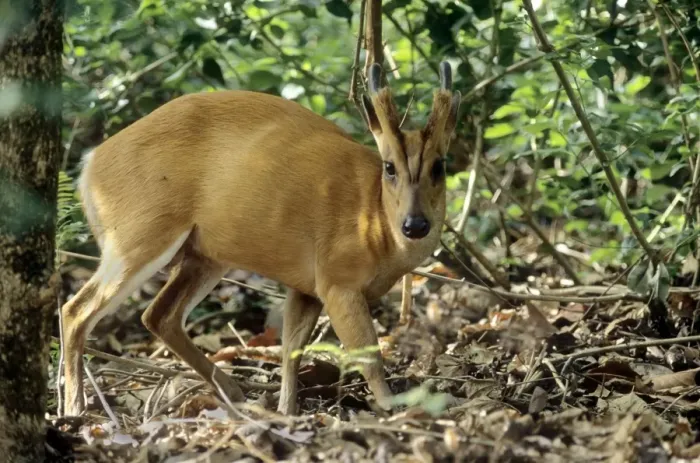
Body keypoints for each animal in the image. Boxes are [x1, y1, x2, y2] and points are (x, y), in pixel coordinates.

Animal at [60, 61, 461, 417]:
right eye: (389, 167)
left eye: (440, 166)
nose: (415, 225)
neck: (373, 221)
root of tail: (89, 165)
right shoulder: (337, 280)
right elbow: (369, 355)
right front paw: (394, 408)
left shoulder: (306, 286)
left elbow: (290, 351)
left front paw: (286, 411)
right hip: (139, 233)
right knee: (76, 309)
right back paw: (75, 408)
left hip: (204, 255)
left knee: (158, 315)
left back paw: (232, 390)